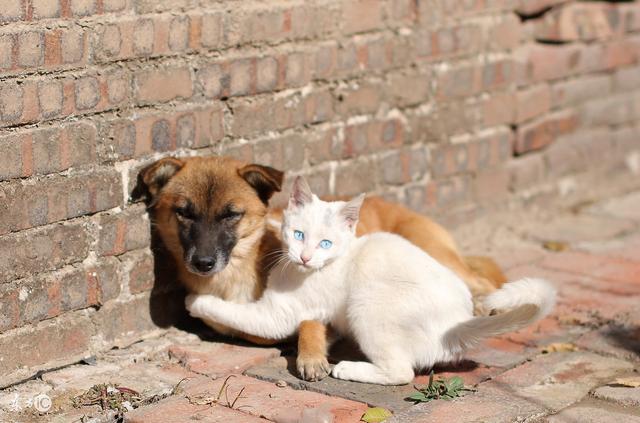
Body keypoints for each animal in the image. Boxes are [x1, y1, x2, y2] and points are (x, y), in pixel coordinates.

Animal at [139, 156, 504, 380]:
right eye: (184, 213)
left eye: (231, 214)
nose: (202, 262)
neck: (237, 272)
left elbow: (308, 324)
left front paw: (311, 355)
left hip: (430, 257)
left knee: (480, 280)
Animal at [185, 177, 556, 386]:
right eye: (298, 234)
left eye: (325, 243)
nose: (305, 257)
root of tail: (459, 325)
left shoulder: (278, 314)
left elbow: (234, 311)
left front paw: (194, 301)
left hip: (367, 305)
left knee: (402, 373)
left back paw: (349, 369)